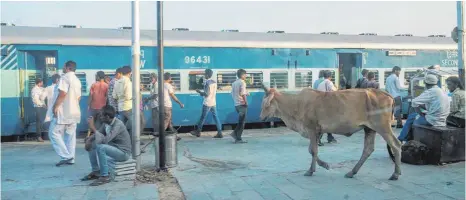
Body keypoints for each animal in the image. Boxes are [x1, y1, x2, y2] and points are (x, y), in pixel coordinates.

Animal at [260, 84, 402, 180]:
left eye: (266, 104)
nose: (261, 117)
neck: (295, 104)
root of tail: (387, 95)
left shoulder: (312, 129)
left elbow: (313, 151)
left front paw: (311, 170)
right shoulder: (316, 132)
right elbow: (312, 150)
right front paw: (323, 165)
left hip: (383, 127)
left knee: (396, 145)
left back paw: (395, 174)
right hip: (369, 129)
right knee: (368, 149)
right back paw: (352, 172)